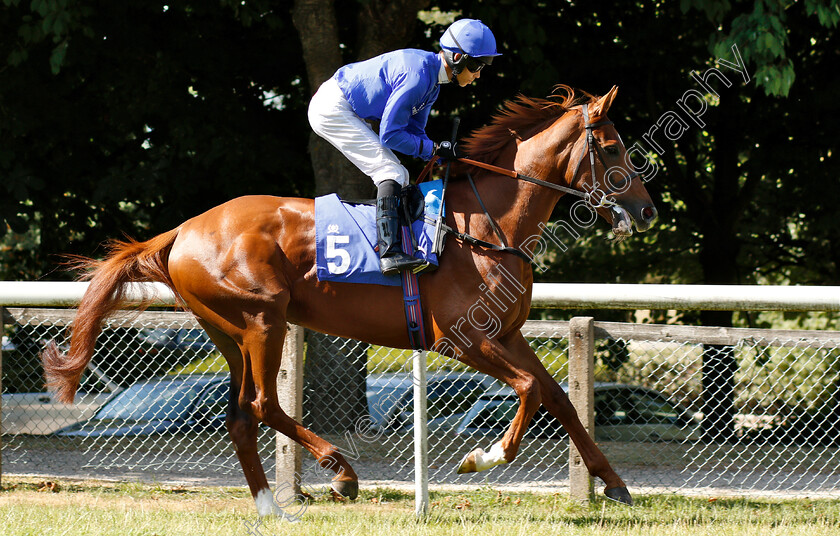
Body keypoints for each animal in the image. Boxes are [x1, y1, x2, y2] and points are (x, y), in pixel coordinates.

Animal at [41, 86, 656, 516]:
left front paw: (614, 483)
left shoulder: (505, 334)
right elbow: (530, 388)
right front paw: (483, 456)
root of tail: (182, 231)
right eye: (612, 147)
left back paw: (272, 504)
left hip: (229, 332)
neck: (486, 227)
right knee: (263, 405)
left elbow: (560, 397)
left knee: (240, 415)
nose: (647, 210)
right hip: (264, 319)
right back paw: (340, 472)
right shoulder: (462, 339)